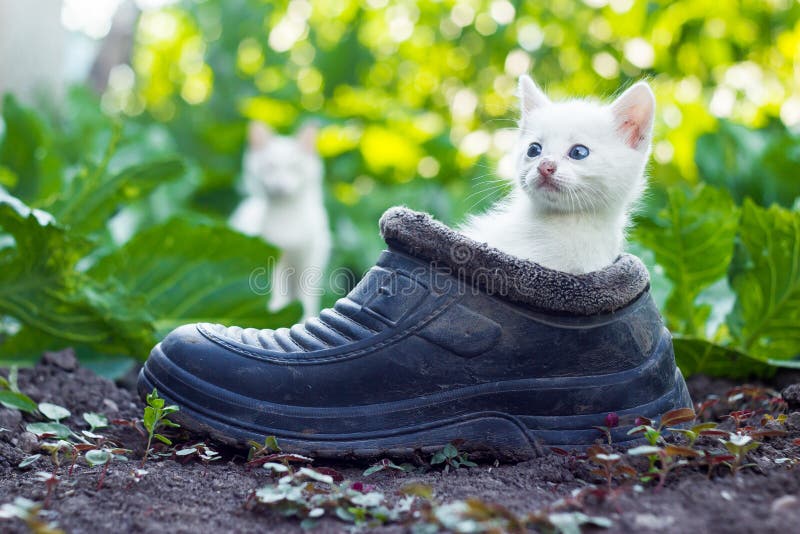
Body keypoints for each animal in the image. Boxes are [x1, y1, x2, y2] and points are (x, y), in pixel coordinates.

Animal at [231, 121, 332, 318]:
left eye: (295, 167)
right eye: (269, 167)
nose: (280, 185)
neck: (287, 215)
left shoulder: (309, 261)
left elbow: (306, 299)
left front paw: (306, 319)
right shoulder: (274, 259)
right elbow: (278, 296)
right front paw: (277, 311)